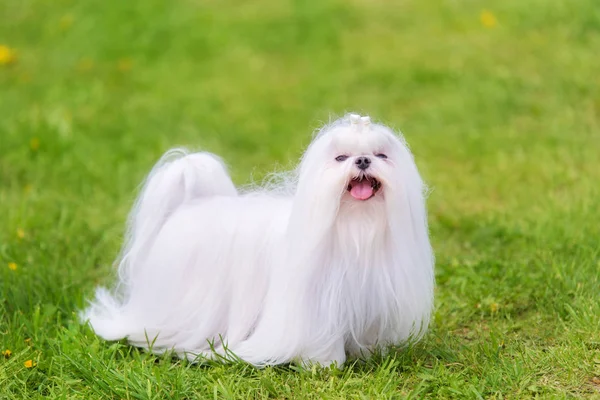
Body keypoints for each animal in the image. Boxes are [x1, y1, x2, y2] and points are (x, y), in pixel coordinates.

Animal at [82, 114, 434, 368]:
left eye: (381, 155)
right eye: (340, 157)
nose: (362, 160)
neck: (356, 227)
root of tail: (188, 205)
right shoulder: (317, 309)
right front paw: (325, 366)